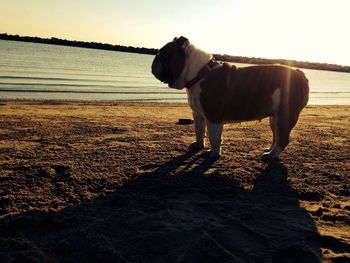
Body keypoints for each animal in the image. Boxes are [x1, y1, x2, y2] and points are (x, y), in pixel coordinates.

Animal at [151, 36, 308, 162]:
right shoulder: (198, 114)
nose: (155, 59)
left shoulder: (213, 117)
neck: (199, 74)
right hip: (274, 118)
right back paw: (269, 150)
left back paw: (270, 156)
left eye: (163, 54)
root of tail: (299, 73)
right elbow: (199, 130)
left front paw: (213, 153)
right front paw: (199, 145)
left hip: (284, 116)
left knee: (283, 139)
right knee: (277, 136)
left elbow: (214, 137)